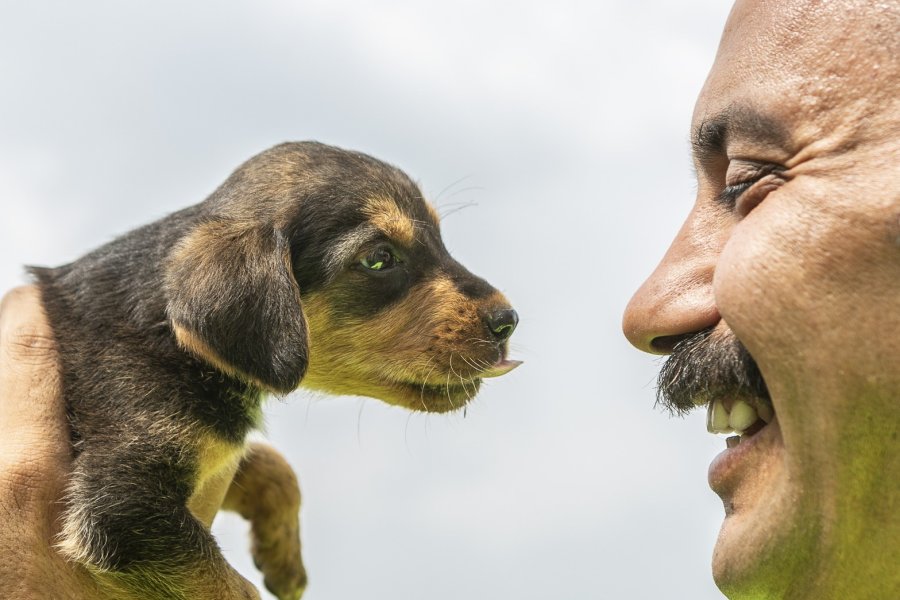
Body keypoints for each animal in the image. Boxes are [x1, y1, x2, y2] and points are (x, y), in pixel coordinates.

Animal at [29, 142, 520, 600]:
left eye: (441, 239)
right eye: (379, 258)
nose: (509, 321)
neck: (170, 332)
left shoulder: (215, 455)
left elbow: (274, 466)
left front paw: (283, 557)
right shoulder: (124, 506)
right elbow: (231, 586)